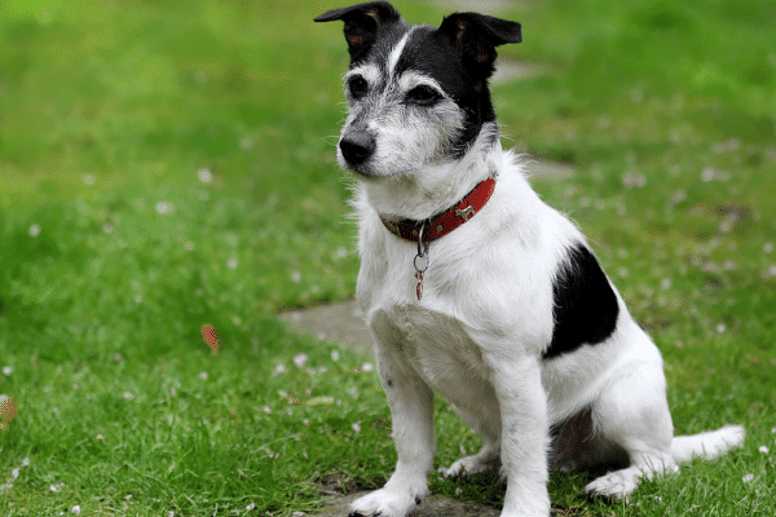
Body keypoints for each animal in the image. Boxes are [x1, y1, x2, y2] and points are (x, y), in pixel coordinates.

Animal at [314, 2, 744, 512]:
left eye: (423, 94)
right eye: (356, 84)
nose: (353, 146)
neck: (428, 227)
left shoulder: (514, 368)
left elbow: (523, 453)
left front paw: (523, 509)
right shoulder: (394, 361)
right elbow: (412, 441)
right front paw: (399, 497)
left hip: (621, 401)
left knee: (656, 462)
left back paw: (617, 482)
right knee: (504, 442)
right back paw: (480, 462)